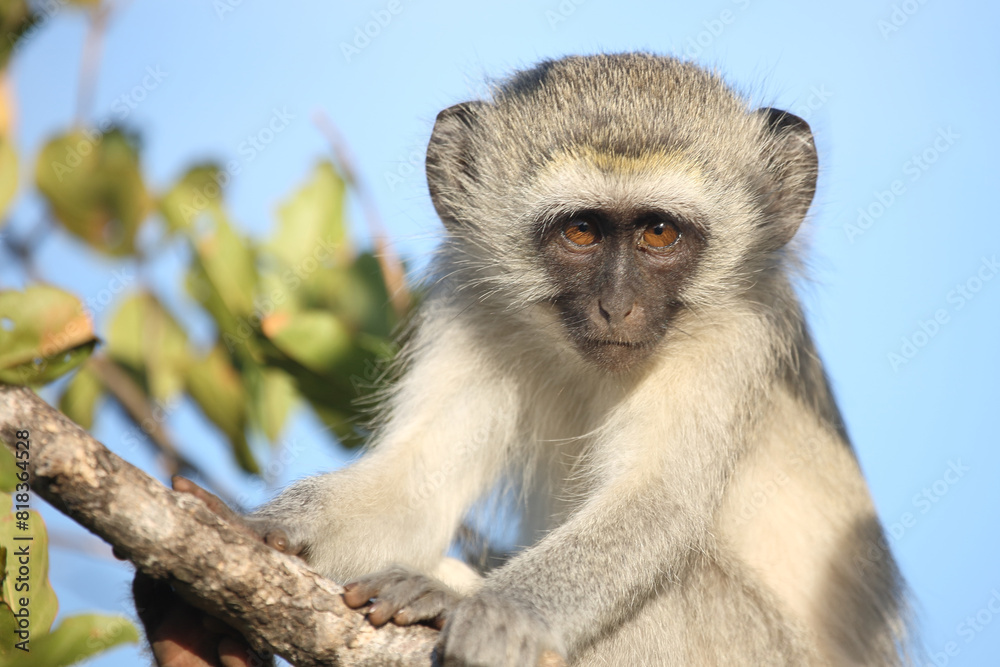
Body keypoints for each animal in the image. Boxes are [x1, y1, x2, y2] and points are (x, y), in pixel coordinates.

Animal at [145, 53, 913, 666]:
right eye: (582, 230)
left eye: (659, 232)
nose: (616, 306)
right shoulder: (473, 309)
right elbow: (414, 482)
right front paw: (252, 527)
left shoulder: (736, 336)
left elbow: (654, 509)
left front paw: (485, 609)